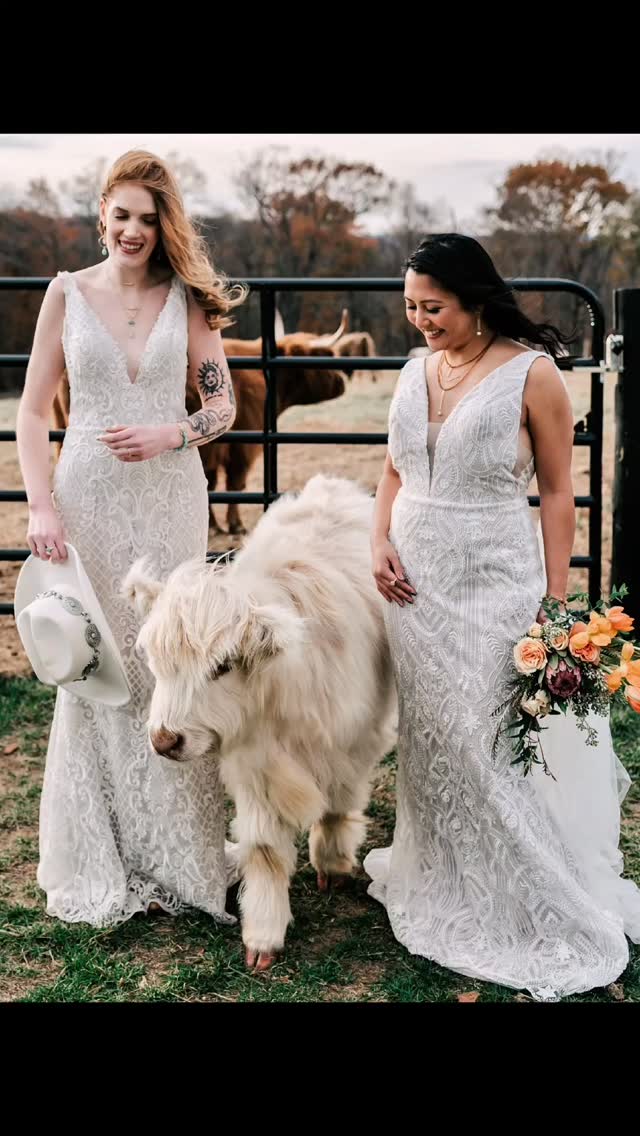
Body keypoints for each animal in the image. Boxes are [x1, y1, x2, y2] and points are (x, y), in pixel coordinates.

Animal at [123, 474, 397, 971]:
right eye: (155, 661)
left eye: (222, 666)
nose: (164, 740)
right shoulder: (255, 768)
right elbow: (266, 849)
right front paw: (263, 935)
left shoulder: (355, 741)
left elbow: (338, 802)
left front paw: (332, 862)